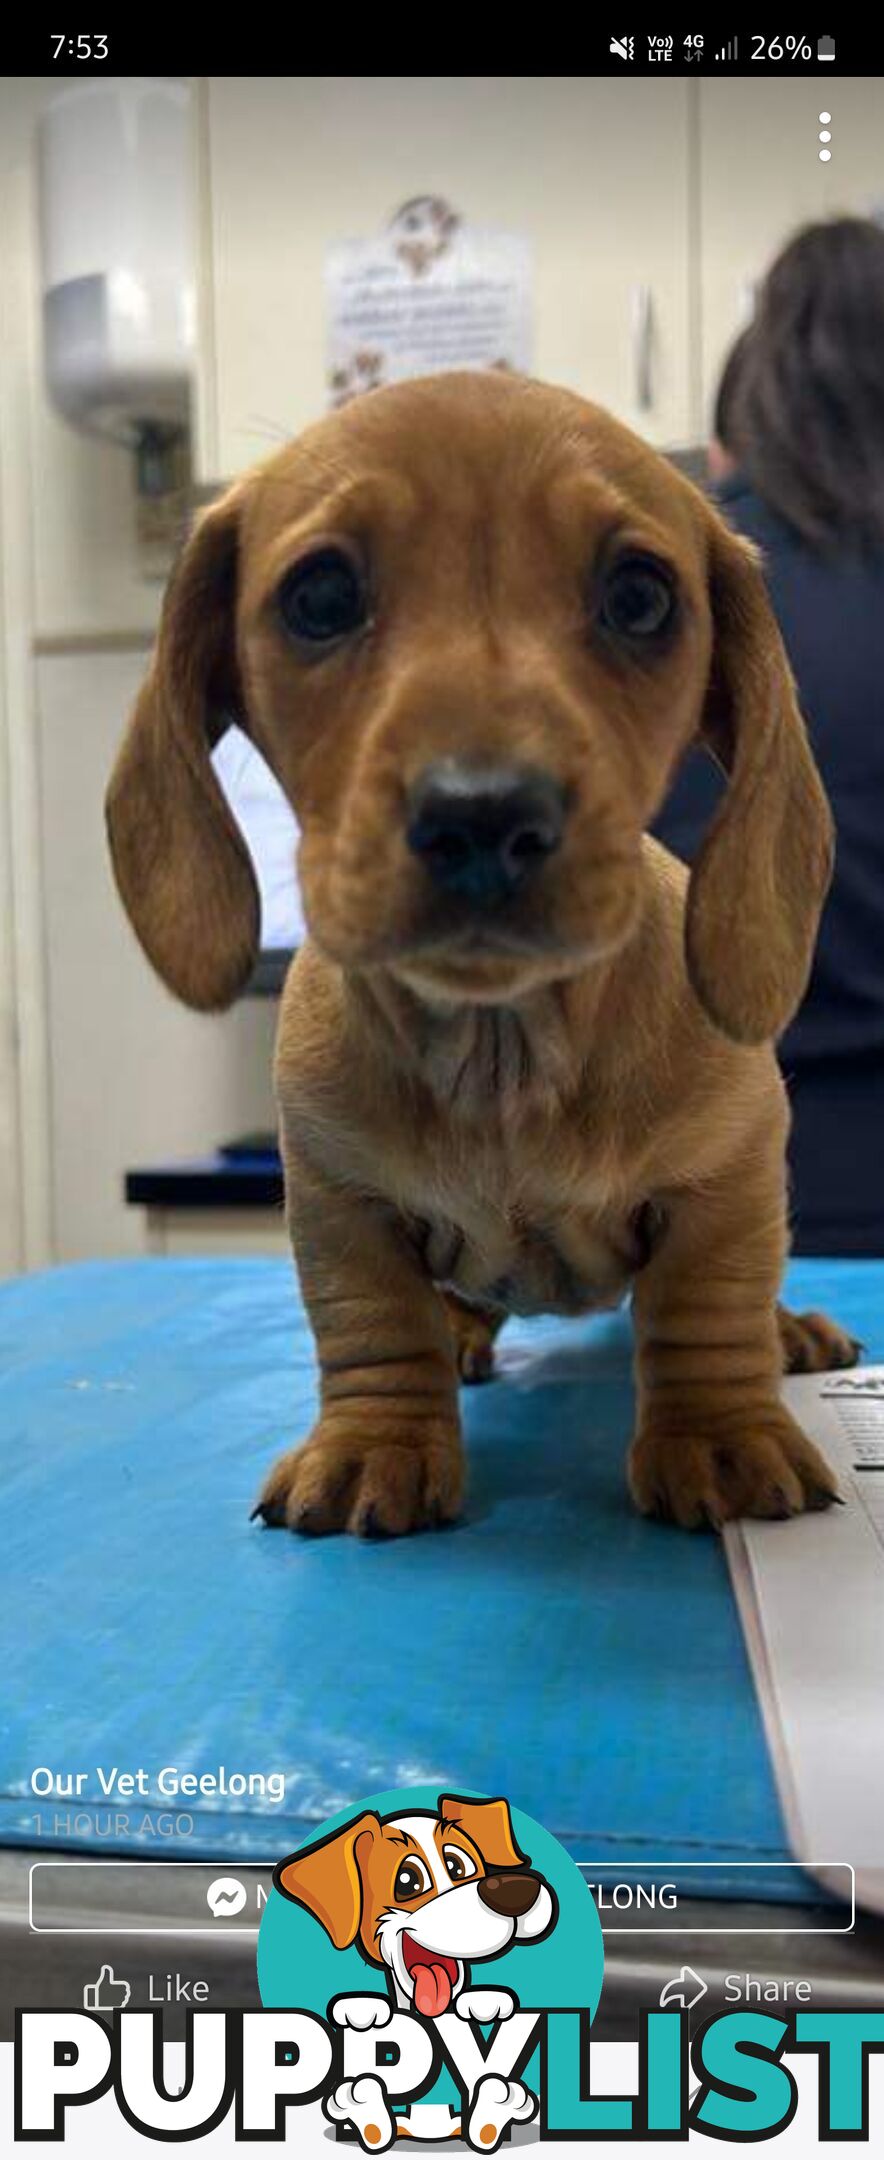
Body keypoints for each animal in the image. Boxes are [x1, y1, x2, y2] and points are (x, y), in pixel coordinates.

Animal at [103, 380, 855, 1546]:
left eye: (641, 598)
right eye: (321, 596)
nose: (483, 814)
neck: (503, 1053)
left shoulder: (725, 1177)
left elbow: (706, 1305)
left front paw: (719, 1433)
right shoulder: (337, 1201)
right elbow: (370, 1322)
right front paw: (375, 1441)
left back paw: (791, 1332)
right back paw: (462, 1331)